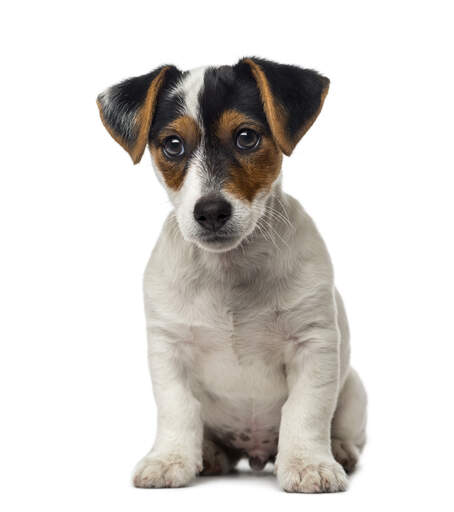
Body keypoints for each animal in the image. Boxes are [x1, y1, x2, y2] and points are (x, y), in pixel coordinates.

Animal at [97, 56, 368, 492]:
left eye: (246, 138)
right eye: (173, 145)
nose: (210, 211)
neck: (229, 271)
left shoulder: (314, 344)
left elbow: (306, 411)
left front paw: (309, 464)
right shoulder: (168, 348)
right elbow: (177, 409)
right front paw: (169, 459)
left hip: (354, 390)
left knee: (341, 427)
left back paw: (339, 450)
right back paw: (208, 455)